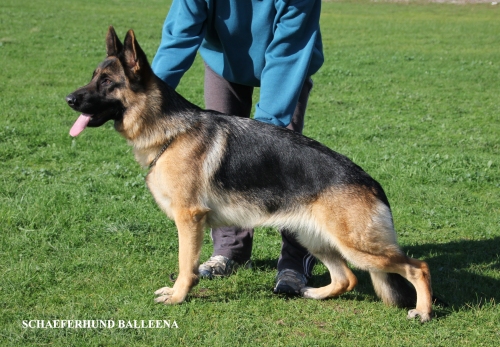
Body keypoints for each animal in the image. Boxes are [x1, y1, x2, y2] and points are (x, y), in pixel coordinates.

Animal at [66, 27, 434, 324]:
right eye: (93, 77)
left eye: (106, 82)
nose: (68, 99)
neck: (170, 133)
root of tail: (372, 184)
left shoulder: (189, 219)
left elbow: (185, 265)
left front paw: (178, 296)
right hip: (313, 237)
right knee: (348, 279)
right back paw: (313, 293)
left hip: (357, 246)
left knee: (418, 267)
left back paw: (423, 311)